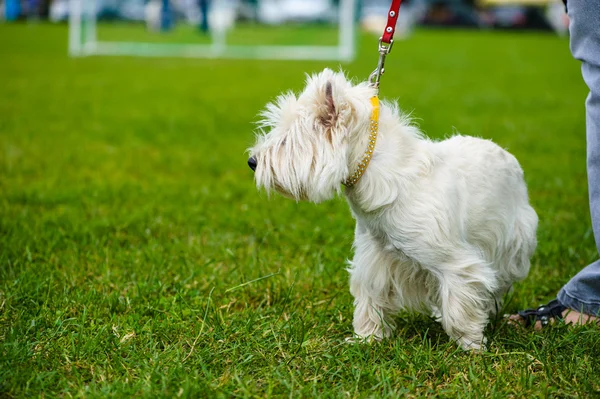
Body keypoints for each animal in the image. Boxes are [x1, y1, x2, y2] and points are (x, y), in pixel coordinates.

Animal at [246, 69, 536, 350]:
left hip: (512, 242)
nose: (251, 161)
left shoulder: (455, 263)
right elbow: (369, 300)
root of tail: (508, 156)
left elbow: (460, 308)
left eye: (285, 141)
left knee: (496, 286)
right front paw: (366, 339)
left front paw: (471, 347)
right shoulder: (373, 257)